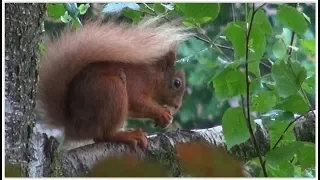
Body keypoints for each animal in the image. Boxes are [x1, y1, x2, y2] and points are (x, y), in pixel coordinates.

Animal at [37, 16, 192, 149]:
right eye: (177, 83)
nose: (177, 106)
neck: (153, 74)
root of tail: (73, 126)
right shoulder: (137, 81)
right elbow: (136, 100)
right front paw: (162, 113)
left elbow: (134, 109)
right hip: (112, 89)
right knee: (104, 136)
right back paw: (129, 135)